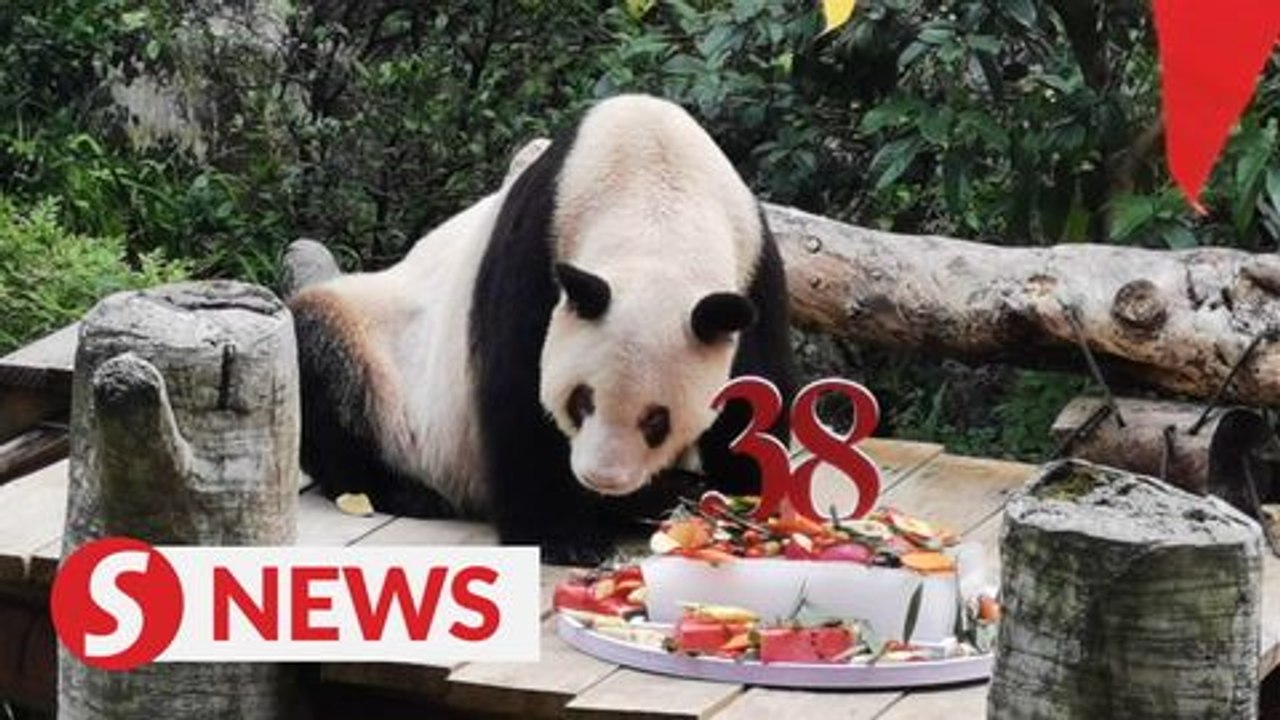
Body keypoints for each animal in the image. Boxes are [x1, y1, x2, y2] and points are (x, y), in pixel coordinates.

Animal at [290, 94, 798, 564]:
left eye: (657, 419)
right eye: (581, 400)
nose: (602, 479)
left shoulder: (754, 270)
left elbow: (755, 394)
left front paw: (741, 500)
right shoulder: (539, 242)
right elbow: (520, 389)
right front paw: (564, 537)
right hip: (379, 348)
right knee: (321, 362)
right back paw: (405, 491)